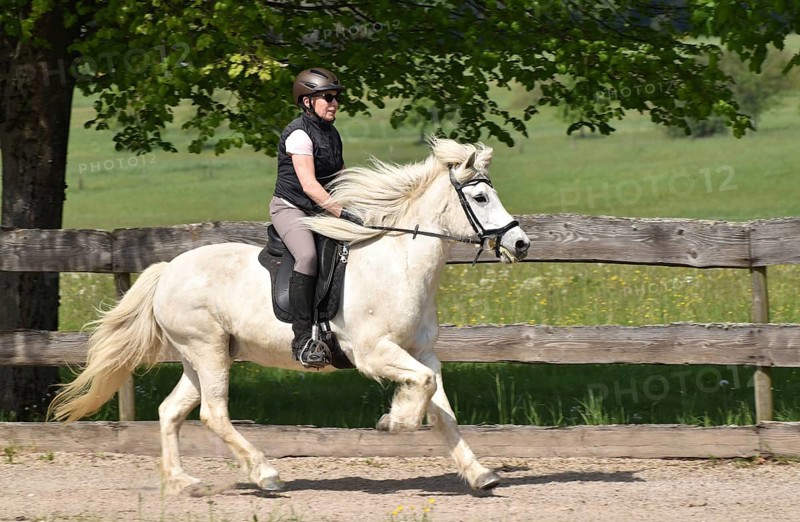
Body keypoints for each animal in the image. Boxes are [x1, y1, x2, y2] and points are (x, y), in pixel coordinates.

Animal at [49, 138, 531, 494]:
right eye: (481, 196)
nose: (521, 244)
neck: (399, 264)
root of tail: (168, 270)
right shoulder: (374, 353)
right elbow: (424, 392)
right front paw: (393, 420)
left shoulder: (423, 353)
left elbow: (441, 409)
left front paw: (480, 474)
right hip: (207, 351)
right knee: (213, 414)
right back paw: (265, 474)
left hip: (198, 356)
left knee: (171, 411)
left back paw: (184, 482)